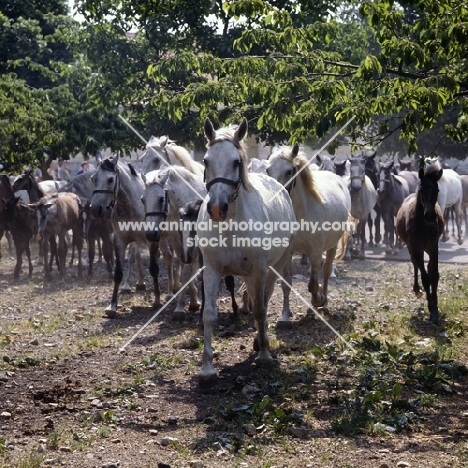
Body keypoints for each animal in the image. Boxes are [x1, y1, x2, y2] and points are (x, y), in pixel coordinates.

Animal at [198, 118, 296, 384]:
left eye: (236, 162)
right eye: (206, 161)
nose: (216, 208)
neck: (231, 224)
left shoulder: (260, 270)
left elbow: (261, 310)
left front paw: (264, 354)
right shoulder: (212, 270)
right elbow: (209, 314)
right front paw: (207, 368)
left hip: (274, 266)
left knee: (265, 299)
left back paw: (261, 341)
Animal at [266, 144, 352, 316]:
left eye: (289, 171)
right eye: (267, 170)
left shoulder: (315, 253)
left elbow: (312, 284)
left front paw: (318, 299)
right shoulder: (288, 253)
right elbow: (286, 283)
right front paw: (285, 314)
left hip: (332, 246)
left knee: (326, 271)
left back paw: (324, 304)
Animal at [396, 163, 444, 324]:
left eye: (437, 190)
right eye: (422, 189)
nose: (429, 216)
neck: (423, 224)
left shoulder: (433, 246)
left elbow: (434, 275)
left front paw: (435, 308)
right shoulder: (416, 247)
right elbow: (425, 277)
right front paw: (431, 307)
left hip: (427, 248)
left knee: (427, 267)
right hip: (412, 247)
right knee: (416, 264)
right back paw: (416, 290)